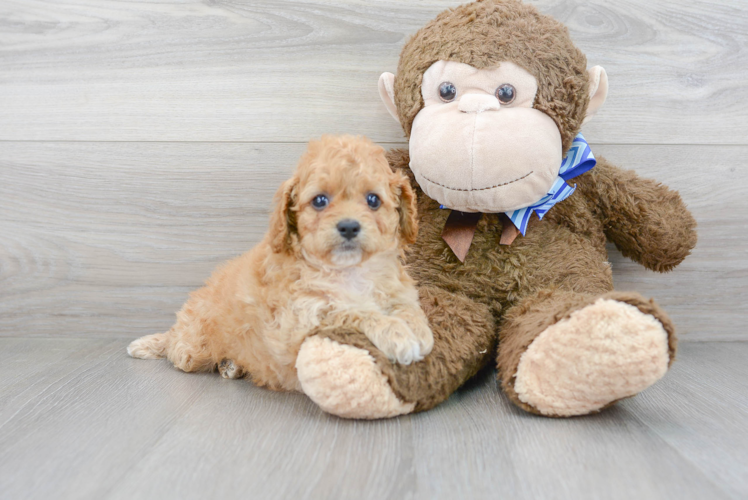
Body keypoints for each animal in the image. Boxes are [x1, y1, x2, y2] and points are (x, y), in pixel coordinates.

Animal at [128, 136, 432, 390]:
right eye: (319, 201)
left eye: (373, 200)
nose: (348, 227)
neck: (349, 270)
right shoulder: (300, 320)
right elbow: (353, 311)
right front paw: (396, 334)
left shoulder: (398, 291)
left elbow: (408, 308)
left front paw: (419, 330)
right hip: (195, 345)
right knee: (177, 352)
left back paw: (232, 365)